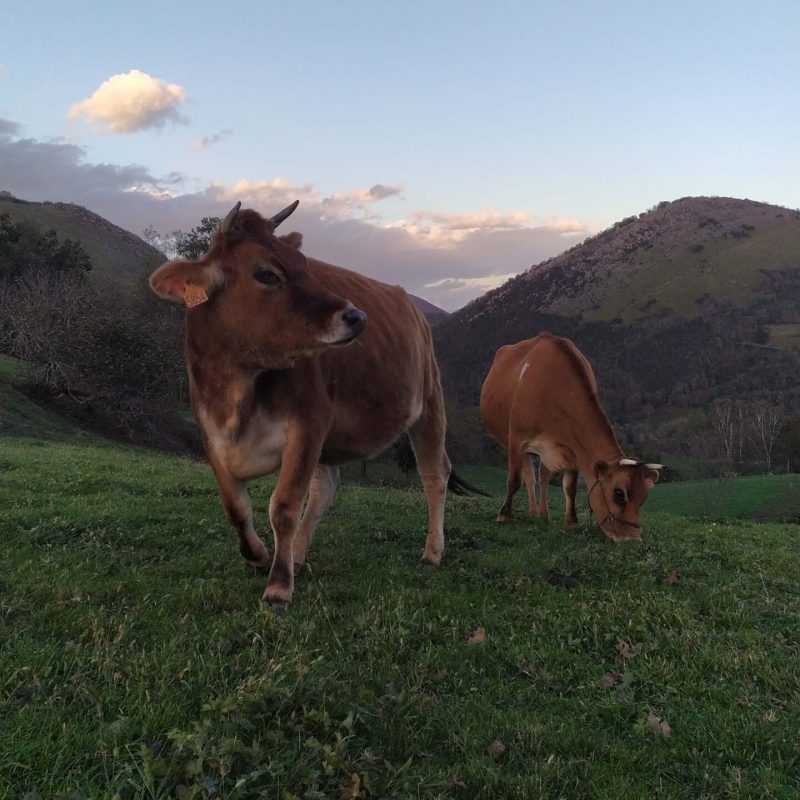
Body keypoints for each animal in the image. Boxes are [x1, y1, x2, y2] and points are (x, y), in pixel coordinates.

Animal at [150, 201, 478, 610]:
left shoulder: (307, 426)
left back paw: (431, 553)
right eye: (265, 274)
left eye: (305, 264)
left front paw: (278, 587)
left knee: (435, 475)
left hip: (430, 405)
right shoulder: (211, 434)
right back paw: (298, 555)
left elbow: (284, 507)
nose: (357, 316)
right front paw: (260, 557)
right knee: (326, 489)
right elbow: (236, 508)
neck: (237, 390)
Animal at [479, 333, 662, 541]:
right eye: (619, 494)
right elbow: (514, 480)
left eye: (643, 498)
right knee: (528, 475)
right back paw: (533, 511)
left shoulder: (573, 448)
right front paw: (503, 516)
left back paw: (542, 513)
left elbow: (570, 487)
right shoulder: (517, 439)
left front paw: (572, 522)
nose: (632, 539)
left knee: (542, 475)